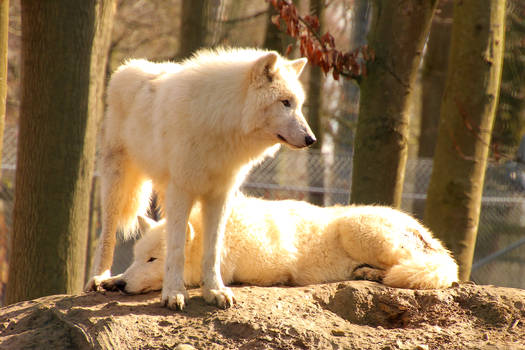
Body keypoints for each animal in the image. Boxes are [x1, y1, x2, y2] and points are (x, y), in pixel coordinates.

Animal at [86, 47, 316, 310]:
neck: (221, 121)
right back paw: (101, 278)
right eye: (285, 103)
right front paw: (174, 293)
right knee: (107, 233)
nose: (312, 139)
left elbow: (212, 249)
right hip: (118, 182)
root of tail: (129, 66)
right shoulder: (181, 190)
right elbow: (176, 249)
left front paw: (215, 291)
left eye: (299, 105)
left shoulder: (220, 196)